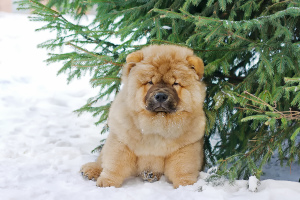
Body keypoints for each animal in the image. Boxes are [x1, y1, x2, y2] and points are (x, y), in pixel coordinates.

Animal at [79, 44, 206, 188]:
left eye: (175, 83)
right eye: (150, 82)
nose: (161, 96)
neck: (157, 124)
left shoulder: (185, 147)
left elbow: (183, 168)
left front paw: (186, 186)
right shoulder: (122, 142)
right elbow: (114, 165)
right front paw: (107, 183)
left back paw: (150, 174)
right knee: (101, 159)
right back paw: (91, 170)